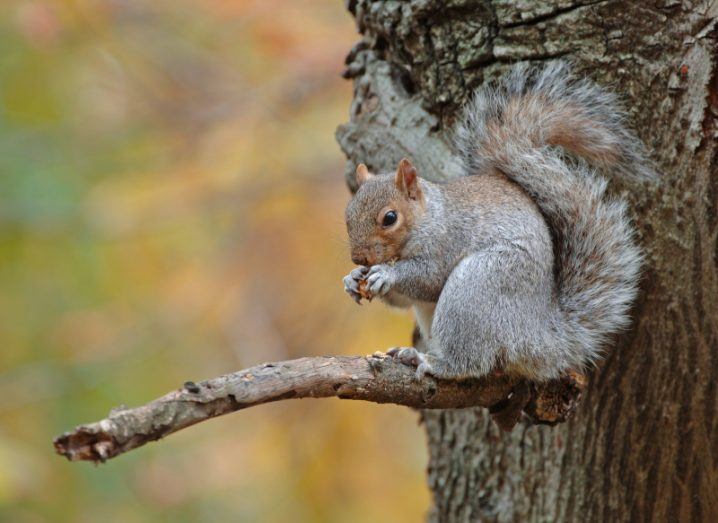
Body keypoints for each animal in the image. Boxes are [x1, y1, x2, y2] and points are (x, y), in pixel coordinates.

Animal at [346, 61, 656, 382]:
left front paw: (386, 274)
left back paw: (429, 361)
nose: (359, 258)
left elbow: (428, 278)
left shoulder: (447, 240)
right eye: (349, 213)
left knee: (471, 361)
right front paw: (353, 278)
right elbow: (403, 301)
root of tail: (540, 334)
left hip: (479, 285)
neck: (428, 217)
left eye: (390, 218)